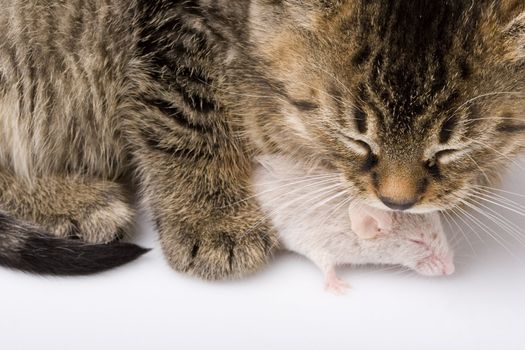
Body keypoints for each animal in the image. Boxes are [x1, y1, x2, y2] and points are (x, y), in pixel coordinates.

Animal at [0, 0, 520, 278]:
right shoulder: (174, 27)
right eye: (356, 139)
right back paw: (75, 200)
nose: (398, 202)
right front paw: (214, 219)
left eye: (450, 148)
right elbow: (185, 111)